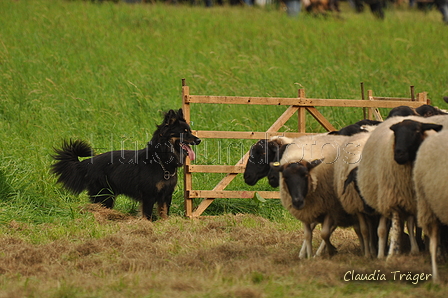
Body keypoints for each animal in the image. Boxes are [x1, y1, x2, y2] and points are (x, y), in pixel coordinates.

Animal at [50, 108, 201, 220]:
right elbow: (147, 215)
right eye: (184, 132)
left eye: (190, 131)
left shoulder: (166, 195)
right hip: (103, 195)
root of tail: (88, 163)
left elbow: (164, 214)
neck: (160, 161)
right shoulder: (149, 196)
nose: (199, 140)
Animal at [356, 115, 444, 260]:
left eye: (417, 131)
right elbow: (396, 227)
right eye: (395, 132)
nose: (399, 154)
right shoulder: (394, 199)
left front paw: (435, 251)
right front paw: (392, 254)